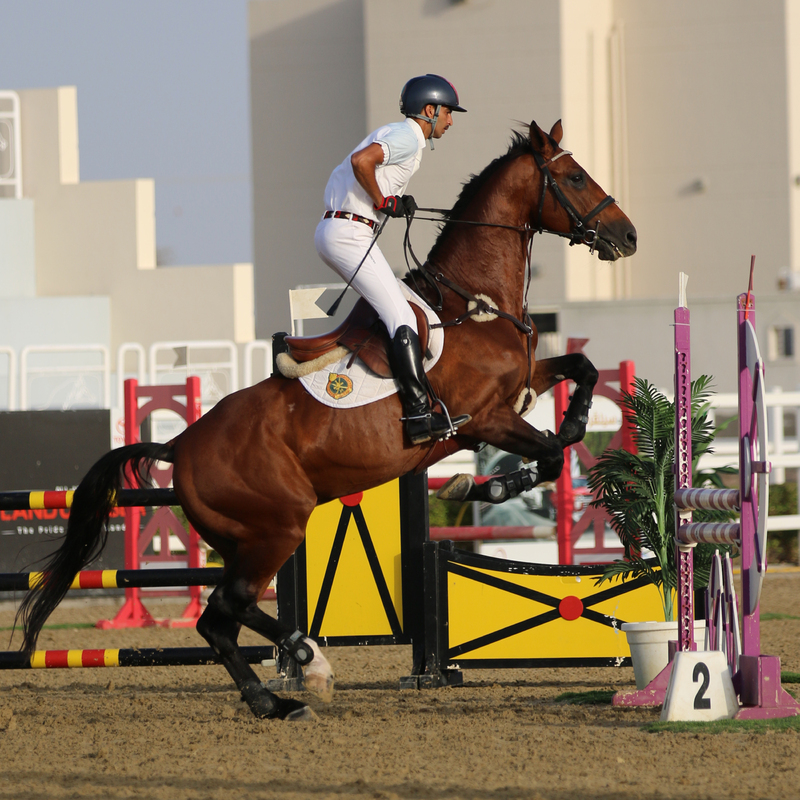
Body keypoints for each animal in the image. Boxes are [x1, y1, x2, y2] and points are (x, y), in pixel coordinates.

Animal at [17, 119, 637, 721]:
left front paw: (571, 425)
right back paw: (288, 687)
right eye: (576, 177)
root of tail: (182, 445)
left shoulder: (522, 388)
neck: (474, 302)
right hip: (279, 527)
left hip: (248, 539)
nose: (628, 236)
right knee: (220, 613)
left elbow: (579, 374)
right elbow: (548, 454)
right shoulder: (483, 417)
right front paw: (484, 484)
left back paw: (295, 674)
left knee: (230, 612)